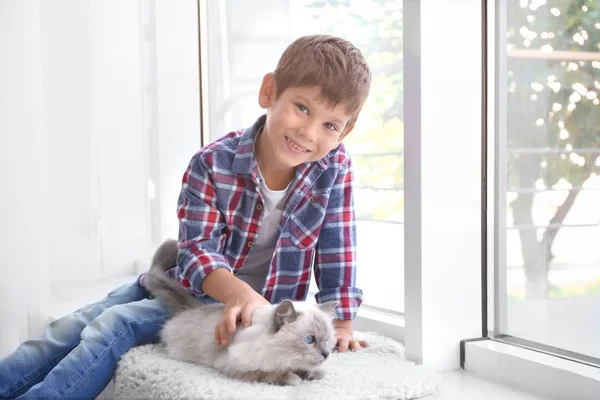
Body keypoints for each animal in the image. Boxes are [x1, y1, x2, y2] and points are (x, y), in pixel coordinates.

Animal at [145, 239, 338, 386]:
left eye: (327, 340)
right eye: (309, 340)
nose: (326, 354)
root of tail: (192, 307)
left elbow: (304, 368)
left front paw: (313, 373)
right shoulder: (236, 366)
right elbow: (270, 373)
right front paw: (293, 378)